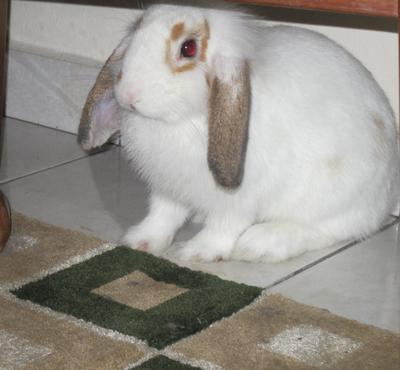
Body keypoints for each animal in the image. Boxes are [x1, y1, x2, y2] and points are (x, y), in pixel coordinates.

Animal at [78, 2, 400, 264]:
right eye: (136, 31)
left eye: (188, 48)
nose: (128, 94)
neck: (184, 120)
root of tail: (387, 197)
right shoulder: (168, 186)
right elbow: (163, 214)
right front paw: (140, 241)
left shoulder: (238, 198)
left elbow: (224, 225)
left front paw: (197, 252)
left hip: (332, 198)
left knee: (328, 229)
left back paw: (259, 245)